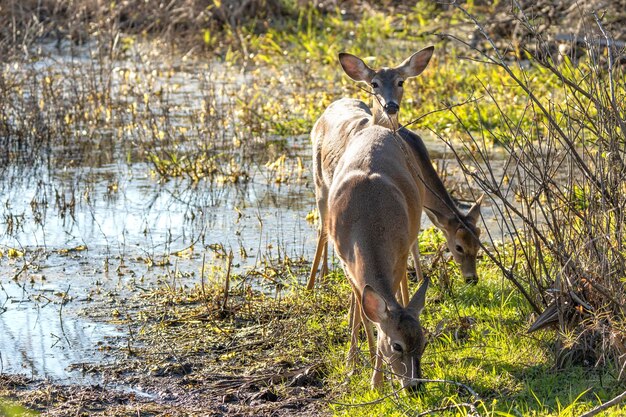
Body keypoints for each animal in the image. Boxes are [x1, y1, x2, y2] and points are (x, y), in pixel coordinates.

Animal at [308, 48, 482, 300]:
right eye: (457, 246)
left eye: (478, 243)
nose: (471, 279)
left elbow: (414, 243)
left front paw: (420, 280)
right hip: (320, 182)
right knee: (322, 229)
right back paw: (312, 284)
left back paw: (325, 277)